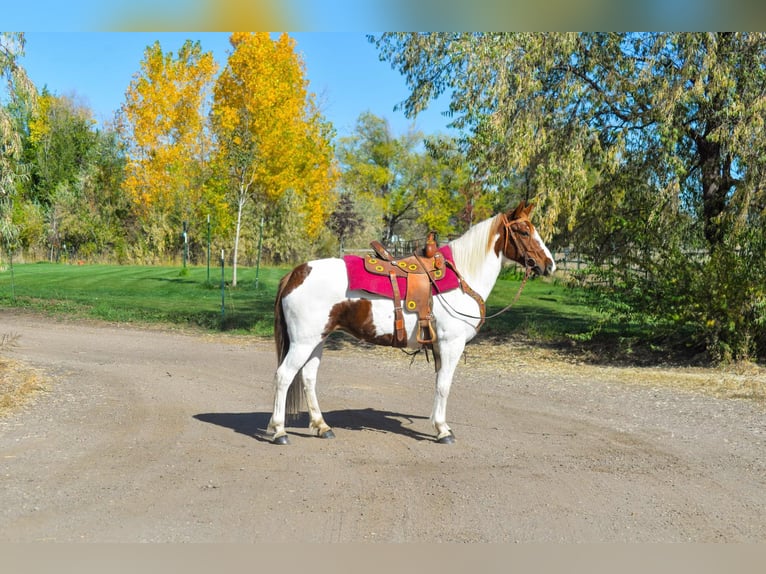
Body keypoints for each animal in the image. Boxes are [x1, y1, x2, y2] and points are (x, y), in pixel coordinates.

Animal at [270, 202, 560, 446]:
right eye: (524, 231)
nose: (549, 265)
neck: (463, 277)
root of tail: (295, 273)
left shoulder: (440, 347)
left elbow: (439, 383)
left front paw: (439, 425)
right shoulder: (451, 344)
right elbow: (444, 385)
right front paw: (443, 431)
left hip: (317, 340)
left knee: (308, 377)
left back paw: (322, 426)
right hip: (303, 342)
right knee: (284, 376)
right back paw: (279, 431)